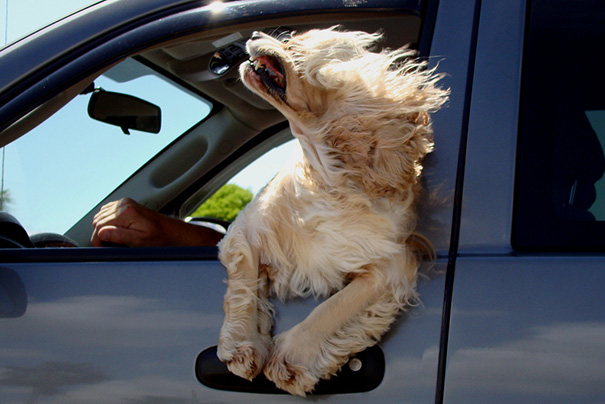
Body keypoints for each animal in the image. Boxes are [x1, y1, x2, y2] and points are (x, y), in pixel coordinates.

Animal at [217, 27, 448, 394]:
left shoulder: (390, 263)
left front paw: (290, 359)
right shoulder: (246, 229)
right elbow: (243, 286)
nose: (253, 33)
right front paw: (242, 346)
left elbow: (333, 309)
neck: (326, 178)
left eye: (293, 44)